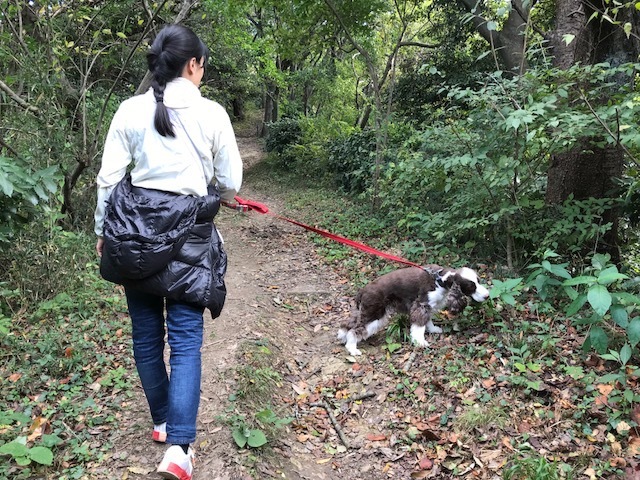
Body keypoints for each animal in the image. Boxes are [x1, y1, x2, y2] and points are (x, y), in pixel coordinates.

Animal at [340, 266, 490, 356]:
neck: (440, 281)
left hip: (365, 311)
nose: (487, 296)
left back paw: (342, 336)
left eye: (478, 281)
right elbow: (419, 326)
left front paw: (433, 329)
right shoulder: (420, 305)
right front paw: (420, 342)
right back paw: (352, 349)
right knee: (355, 330)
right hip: (375, 314)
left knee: (350, 323)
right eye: (471, 287)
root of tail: (362, 291)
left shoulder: (428, 306)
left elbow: (428, 321)